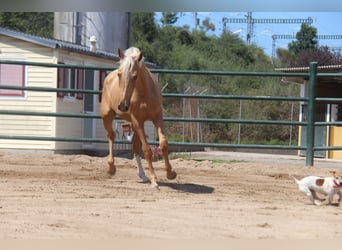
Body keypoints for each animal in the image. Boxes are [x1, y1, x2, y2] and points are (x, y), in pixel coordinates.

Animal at [101, 47, 176, 188]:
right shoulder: (138, 121)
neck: (144, 94)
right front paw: (154, 180)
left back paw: (143, 175)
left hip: (134, 125)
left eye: (135, 76)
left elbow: (163, 144)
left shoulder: (157, 118)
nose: (123, 105)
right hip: (107, 116)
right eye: (120, 74)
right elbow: (147, 150)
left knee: (135, 147)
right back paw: (111, 168)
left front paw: (170, 173)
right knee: (111, 136)